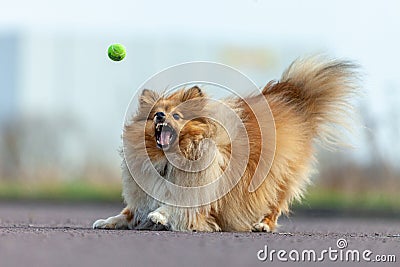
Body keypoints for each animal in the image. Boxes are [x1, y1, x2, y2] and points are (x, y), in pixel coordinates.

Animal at [93, 56, 356, 232]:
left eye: (176, 115)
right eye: (155, 113)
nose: (159, 116)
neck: (170, 160)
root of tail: (292, 100)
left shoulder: (197, 196)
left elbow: (175, 207)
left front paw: (159, 216)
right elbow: (125, 214)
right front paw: (106, 221)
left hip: (277, 177)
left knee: (274, 206)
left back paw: (262, 225)